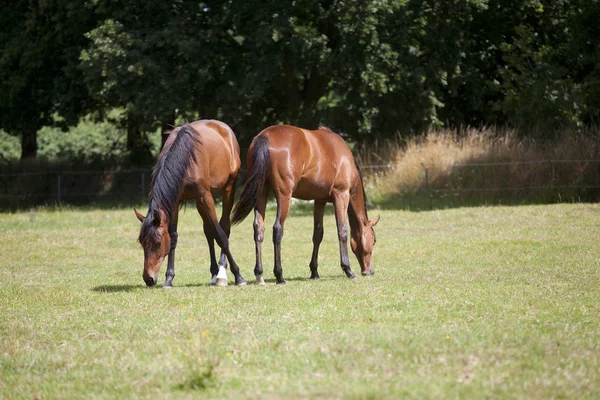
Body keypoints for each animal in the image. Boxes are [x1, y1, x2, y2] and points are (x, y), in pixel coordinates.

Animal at [135, 119, 246, 288]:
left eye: (157, 242)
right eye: (141, 242)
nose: (149, 279)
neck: (185, 159)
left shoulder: (206, 196)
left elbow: (220, 236)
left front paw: (239, 276)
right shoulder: (175, 201)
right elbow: (173, 237)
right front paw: (169, 279)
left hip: (228, 188)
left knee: (224, 227)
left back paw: (221, 273)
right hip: (200, 203)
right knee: (208, 231)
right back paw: (214, 273)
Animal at [231, 125, 380, 284]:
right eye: (374, 240)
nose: (369, 271)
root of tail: (264, 136)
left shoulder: (319, 200)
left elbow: (318, 234)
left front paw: (314, 271)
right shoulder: (341, 195)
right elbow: (342, 231)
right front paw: (348, 270)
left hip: (261, 193)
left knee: (259, 228)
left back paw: (259, 274)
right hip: (284, 196)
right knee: (277, 229)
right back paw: (279, 275)